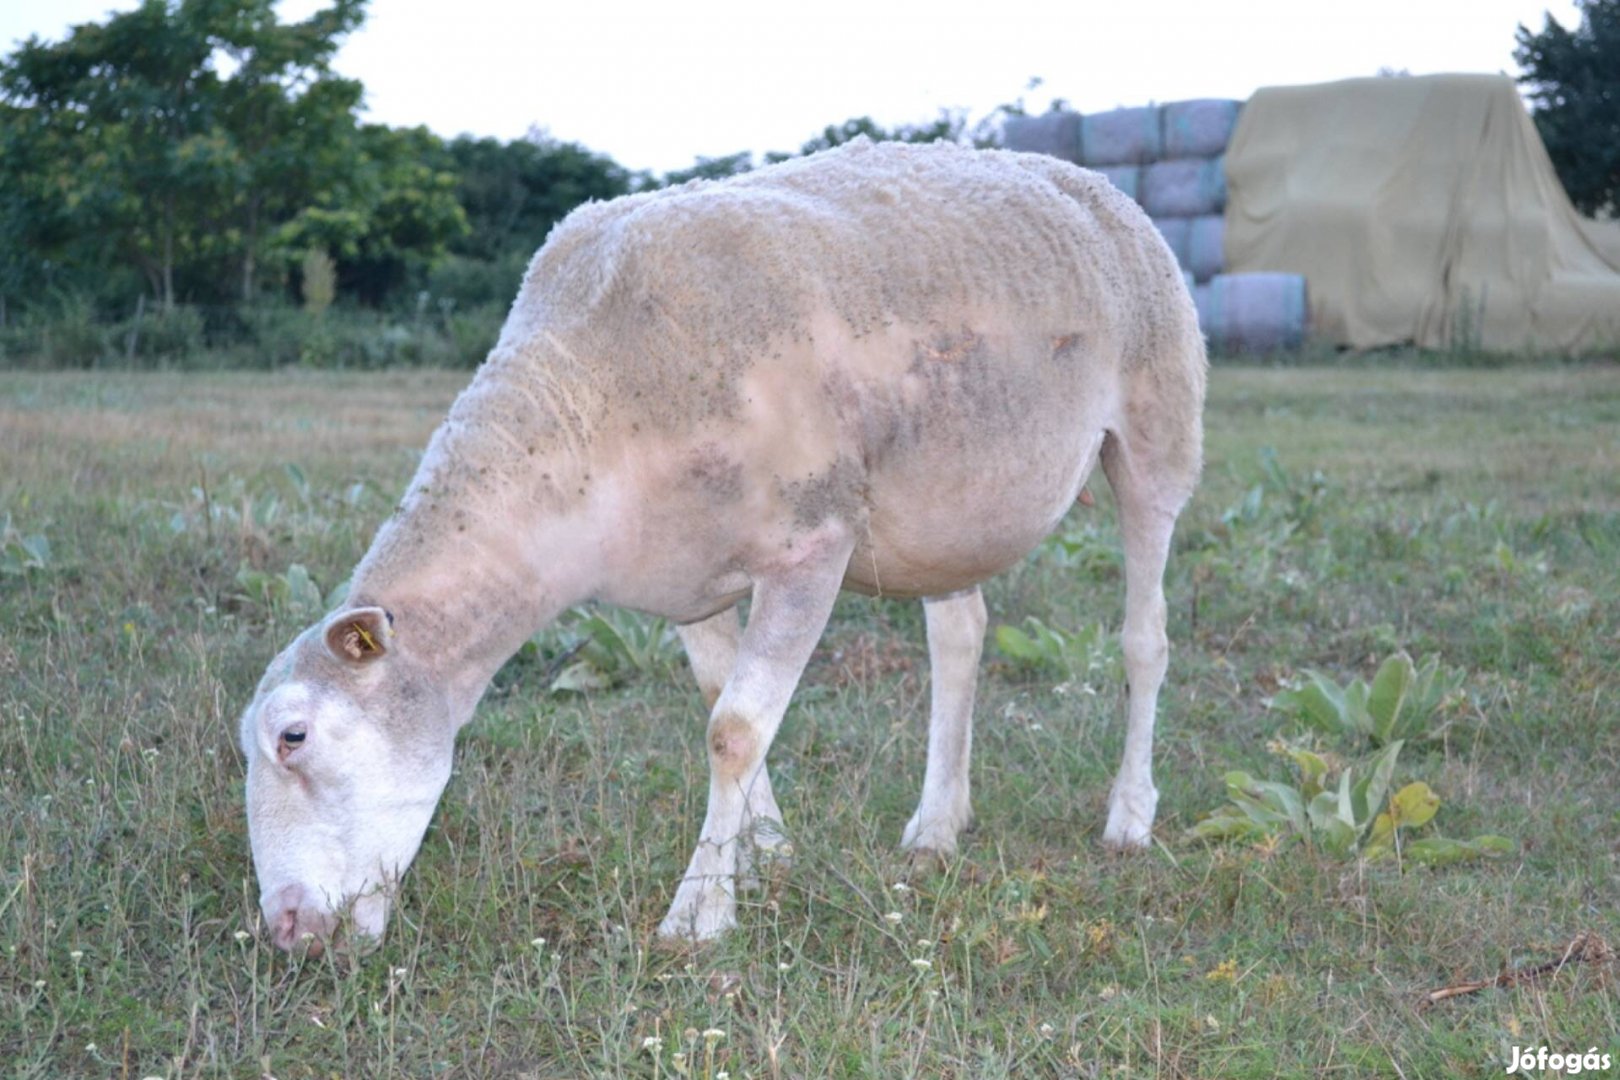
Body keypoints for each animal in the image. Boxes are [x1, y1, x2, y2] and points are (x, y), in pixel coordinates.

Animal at [236, 137, 1205, 952]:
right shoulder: (688, 581)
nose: (285, 929)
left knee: (1147, 639)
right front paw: (765, 853)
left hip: (1157, 434)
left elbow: (734, 730)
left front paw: (701, 910)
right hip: (948, 510)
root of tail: (1087, 178)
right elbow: (725, 706)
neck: (588, 406)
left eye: (294, 737)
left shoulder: (812, 545)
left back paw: (1129, 817)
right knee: (960, 638)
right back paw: (937, 826)